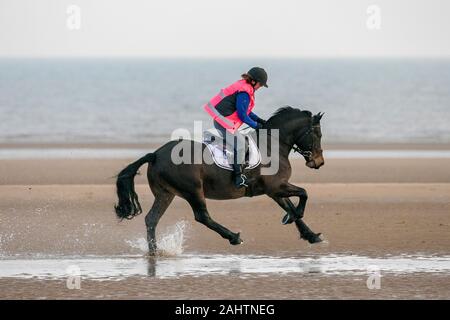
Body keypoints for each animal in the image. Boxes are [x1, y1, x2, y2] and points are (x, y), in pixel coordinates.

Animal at [114, 107, 326, 255]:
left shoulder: (275, 190)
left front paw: (310, 235)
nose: (319, 162)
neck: (273, 145)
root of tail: (156, 154)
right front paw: (294, 216)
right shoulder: (275, 187)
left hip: (166, 194)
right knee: (202, 216)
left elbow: (290, 204)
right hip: (193, 191)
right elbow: (304, 194)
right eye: (318, 134)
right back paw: (234, 237)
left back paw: (154, 251)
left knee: (152, 219)